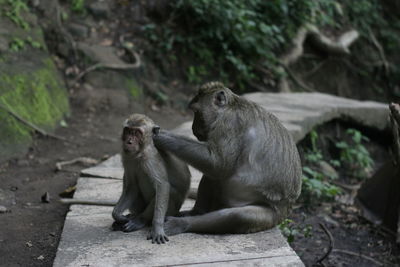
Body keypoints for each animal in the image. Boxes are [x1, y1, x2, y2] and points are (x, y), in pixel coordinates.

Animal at [111, 113, 191, 245]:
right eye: (128, 131)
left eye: (137, 133)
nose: (129, 141)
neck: (140, 153)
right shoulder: (127, 158)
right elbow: (132, 187)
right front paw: (118, 215)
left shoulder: (151, 158)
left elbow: (162, 186)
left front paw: (157, 228)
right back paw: (131, 217)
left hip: (171, 211)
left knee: (171, 192)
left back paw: (141, 220)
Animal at [153, 82, 300, 237]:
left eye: (197, 112)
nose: (193, 128)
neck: (232, 105)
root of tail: (286, 210)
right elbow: (215, 168)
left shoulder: (230, 123)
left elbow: (218, 164)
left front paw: (162, 136)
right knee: (212, 177)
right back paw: (196, 212)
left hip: (271, 215)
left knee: (238, 216)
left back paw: (183, 224)